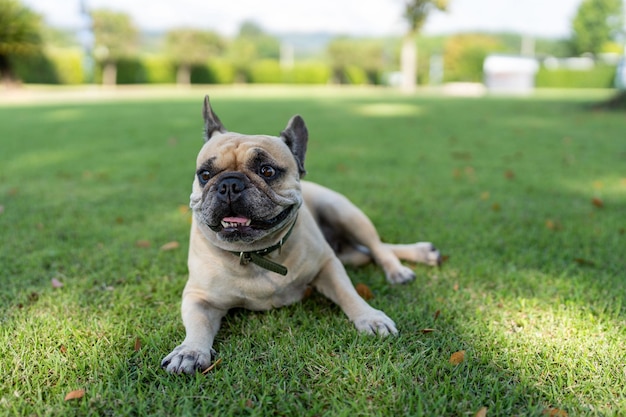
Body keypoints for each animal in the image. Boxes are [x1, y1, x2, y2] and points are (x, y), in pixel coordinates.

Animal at [161, 96, 438, 372]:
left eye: (267, 171)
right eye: (205, 174)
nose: (229, 184)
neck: (254, 254)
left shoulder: (328, 265)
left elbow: (348, 293)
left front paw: (370, 317)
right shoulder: (198, 297)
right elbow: (198, 324)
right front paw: (189, 351)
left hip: (344, 212)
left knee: (379, 247)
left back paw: (401, 268)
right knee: (371, 252)